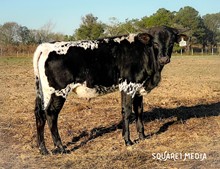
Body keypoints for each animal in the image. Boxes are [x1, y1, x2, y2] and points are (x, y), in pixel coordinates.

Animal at [33, 24, 187, 154]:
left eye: (171, 42)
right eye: (155, 42)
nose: (163, 59)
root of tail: (46, 46)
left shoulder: (138, 89)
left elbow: (139, 111)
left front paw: (142, 137)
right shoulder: (128, 86)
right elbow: (127, 112)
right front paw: (128, 141)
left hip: (44, 92)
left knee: (40, 113)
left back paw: (43, 150)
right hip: (59, 91)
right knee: (51, 114)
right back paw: (61, 148)